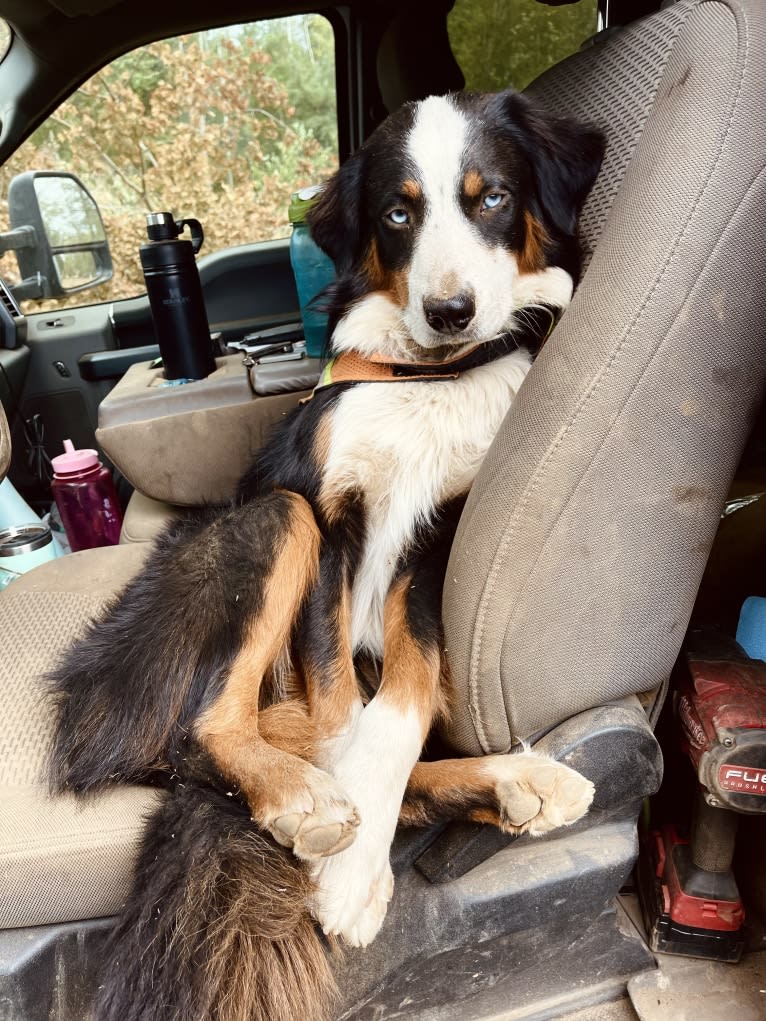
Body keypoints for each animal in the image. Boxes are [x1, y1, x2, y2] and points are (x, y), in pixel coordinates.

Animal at [51, 89, 608, 1021]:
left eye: (492, 198)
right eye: (398, 214)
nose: (450, 311)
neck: (428, 378)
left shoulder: (437, 540)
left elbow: (402, 700)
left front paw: (356, 867)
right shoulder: (333, 517)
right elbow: (341, 706)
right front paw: (350, 867)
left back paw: (518, 781)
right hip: (279, 518)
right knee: (206, 727)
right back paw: (303, 793)